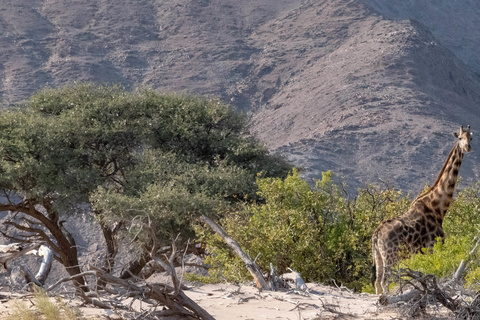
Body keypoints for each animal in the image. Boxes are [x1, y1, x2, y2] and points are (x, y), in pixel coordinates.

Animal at [372, 125, 472, 296]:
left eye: (471, 138)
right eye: (460, 138)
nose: (468, 147)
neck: (438, 208)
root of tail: (376, 234)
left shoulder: (421, 252)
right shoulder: (433, 246)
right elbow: (433, 274)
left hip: (378, 256)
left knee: (377, 283)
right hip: (391, 256)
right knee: (385, 282)